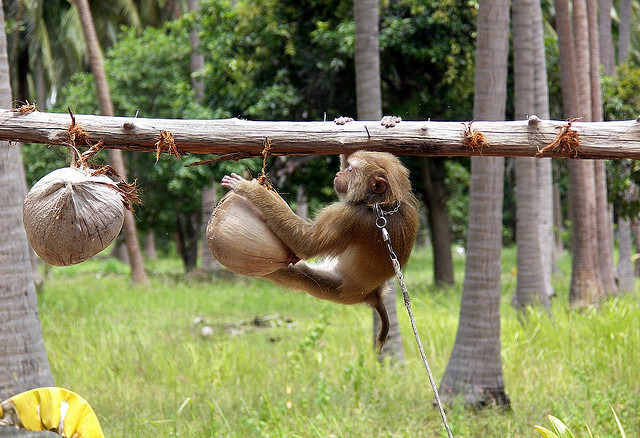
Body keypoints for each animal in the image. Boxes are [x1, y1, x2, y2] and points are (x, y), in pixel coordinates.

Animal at [221, 151, 420, 350]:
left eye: (350, 169)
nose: (339, 174)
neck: (382, 205)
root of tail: (373, 295)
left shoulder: (349, 216)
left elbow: (306, 243)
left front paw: (251, 190)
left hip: (337, 290)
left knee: (296, 274)